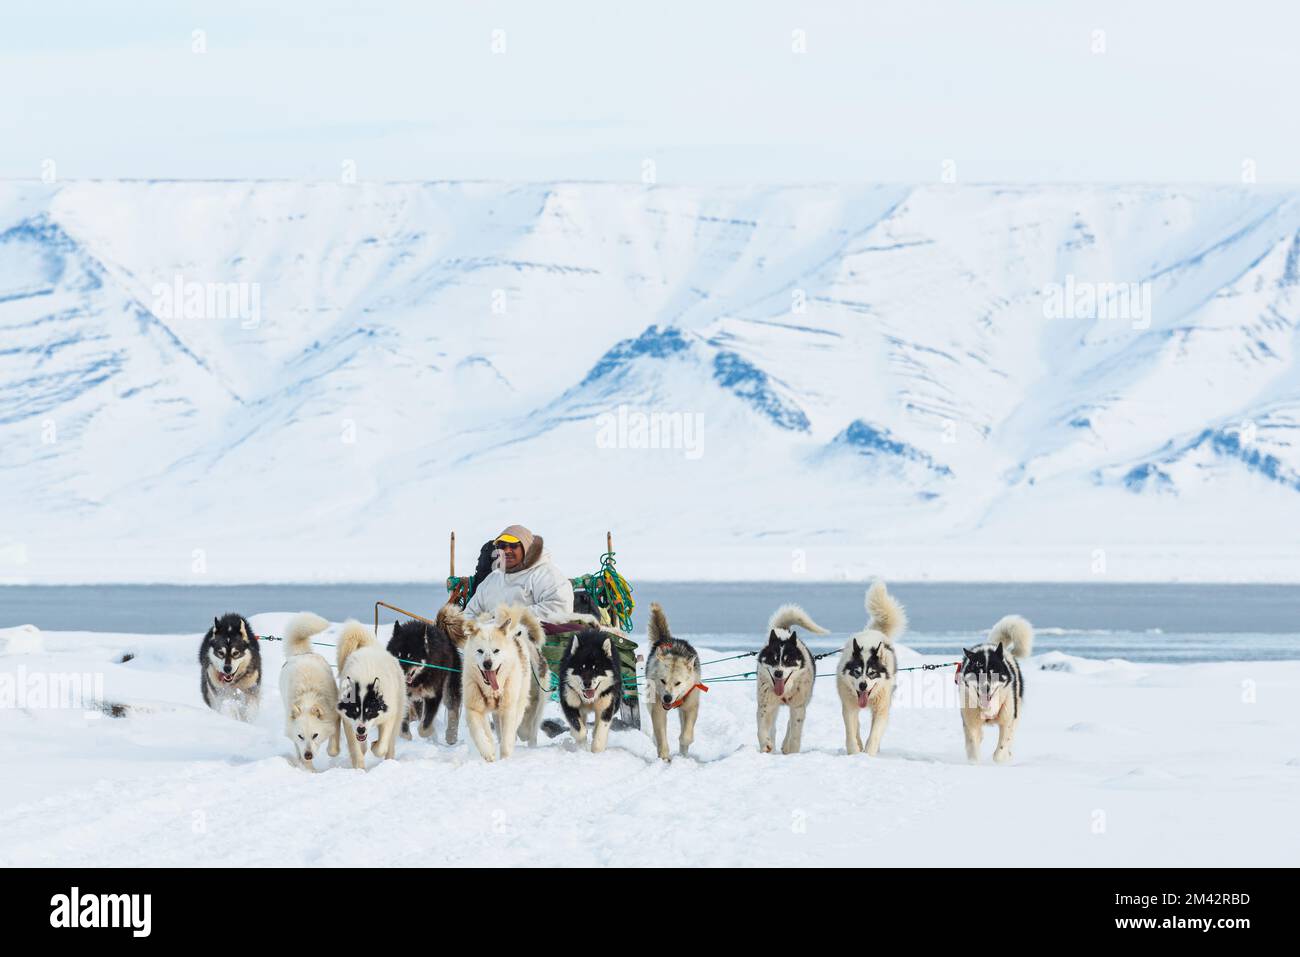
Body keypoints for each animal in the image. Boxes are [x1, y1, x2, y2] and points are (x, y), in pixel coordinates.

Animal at [759, 605, 826, 754]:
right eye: (772, 659)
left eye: (788, 660)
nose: (778, 673)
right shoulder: (766, 704)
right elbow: (762, 728)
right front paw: (766, 745)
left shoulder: (798, 707)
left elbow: (795, 734)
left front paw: (793, 752)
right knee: (773, 726)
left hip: (803, 702)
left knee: (791, 724)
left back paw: (786, 746)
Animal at [832, 582, 904, 754]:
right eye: (857, 672)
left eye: (872, 673)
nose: (863, 685)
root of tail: (874, 631)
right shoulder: (849, 706)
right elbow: (851, 731)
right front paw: (854, 752)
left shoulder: (882, 707)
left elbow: (875, 734)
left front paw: (869, 753)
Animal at [956, 621, 1034, 764]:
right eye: (978, 673)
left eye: (994, 673)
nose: (985, 688)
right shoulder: (970, 722)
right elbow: (973, 746)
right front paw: (974, 764)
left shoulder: (1007, 721)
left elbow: (1001, 749)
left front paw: (998, 762)